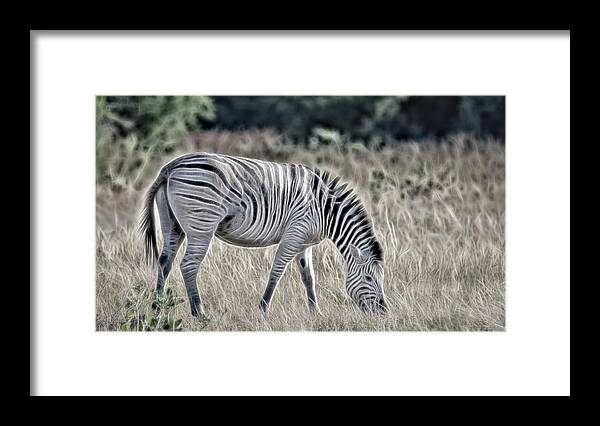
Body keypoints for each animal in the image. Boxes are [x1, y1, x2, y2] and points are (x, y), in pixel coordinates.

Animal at [138, 152, 386, 316]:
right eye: (369, 279)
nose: (383, 312)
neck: (325, 210)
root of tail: (172, 166)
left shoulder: (304, 242)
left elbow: (308, 277)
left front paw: (315, 312)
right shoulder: (294, 234)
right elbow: (277, 271)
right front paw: (263, 309)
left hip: (173, 224)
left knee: (165, 262)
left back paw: (158, 307)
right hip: (202, 225)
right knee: (188, 265)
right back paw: (199, 312)